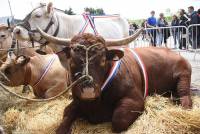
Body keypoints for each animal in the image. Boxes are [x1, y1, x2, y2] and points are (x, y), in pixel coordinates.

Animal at [36, 28, 192, 133]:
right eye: (73, 61)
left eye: (103, 60)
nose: (88, 90)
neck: (96, 104)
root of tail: (172, 52)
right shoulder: (77, 101)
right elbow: (66, 114)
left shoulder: (135, 99)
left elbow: (118, 120)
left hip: (183, 75)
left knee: (185, 96)